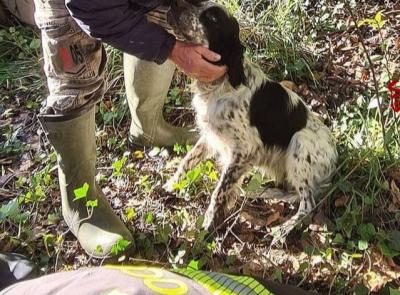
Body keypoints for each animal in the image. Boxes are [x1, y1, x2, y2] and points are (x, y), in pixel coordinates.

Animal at [164, 1, 336, 243]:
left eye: (213, 19)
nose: (173, 4)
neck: (223, 83)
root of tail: (335, 161)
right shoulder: (210, 134)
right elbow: (188, 160)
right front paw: (172, 185)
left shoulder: (244, 151)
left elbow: (219, 191)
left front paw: (208, 224)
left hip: (299, 142)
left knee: (307, 204)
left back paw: (284, 229)